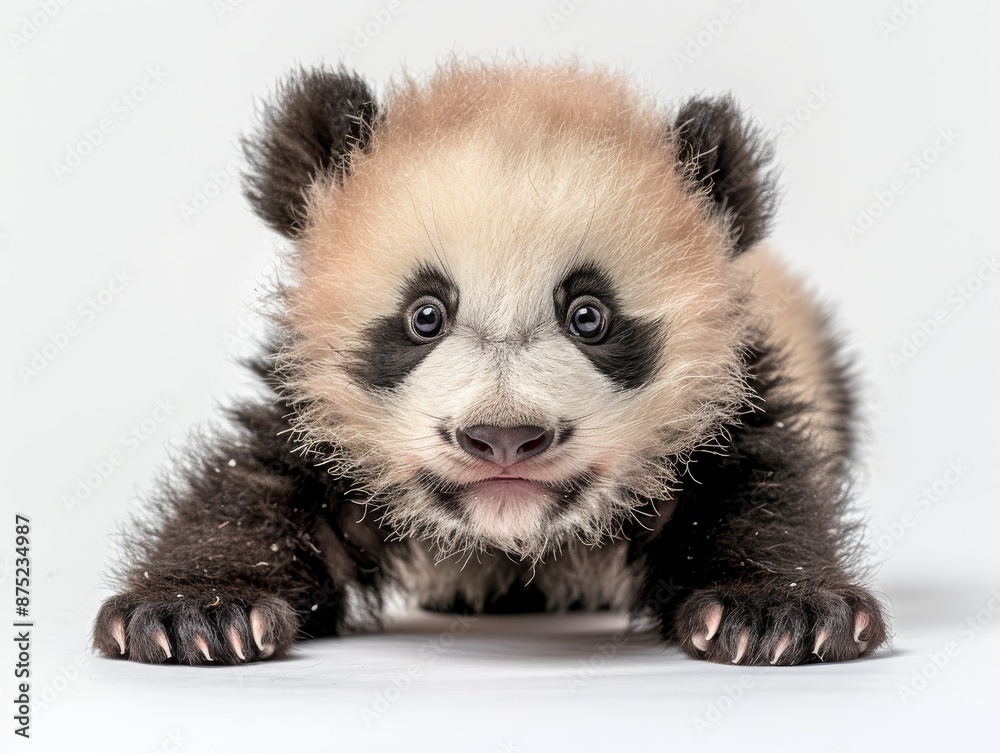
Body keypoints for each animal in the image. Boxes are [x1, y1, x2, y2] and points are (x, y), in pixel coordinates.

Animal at [93, 60, 889, 667]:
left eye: (589, 316)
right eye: (425, 315)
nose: (504, 438)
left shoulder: (731, 395)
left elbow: (762, 485)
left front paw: (775, 612)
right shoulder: (317, 416)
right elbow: (252, 482)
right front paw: (197, 612)